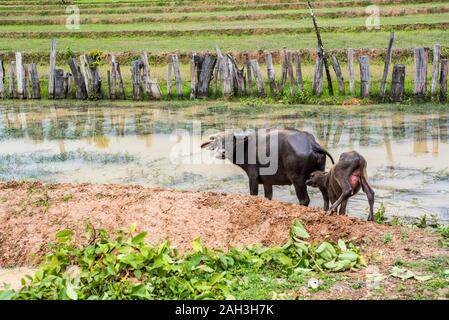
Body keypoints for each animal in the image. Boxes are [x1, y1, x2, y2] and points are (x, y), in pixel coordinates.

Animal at [201, 127, 334, 205]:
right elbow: (268, 197)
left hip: (298, 180)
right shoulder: (267, 181)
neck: (245, 148)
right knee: (326, 196)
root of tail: (311, 144)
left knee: (304, 200)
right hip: (319, 177)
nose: (222, 153)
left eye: (230, 141)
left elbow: (253, 194)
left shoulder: (253, 177)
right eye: (216, 141)